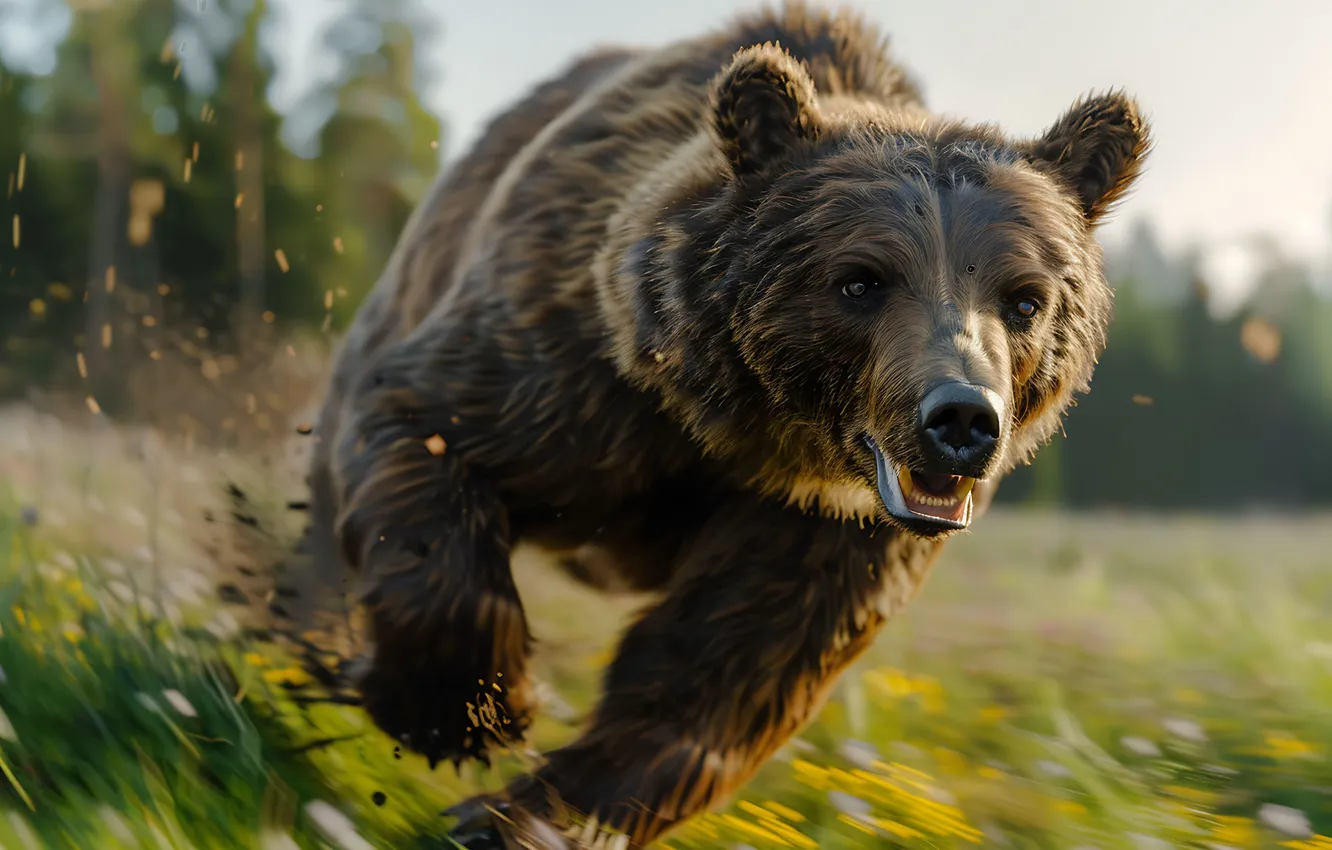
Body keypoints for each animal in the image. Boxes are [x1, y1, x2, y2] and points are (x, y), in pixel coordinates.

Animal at [295, 2, 1150, 847]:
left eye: (1025, 298)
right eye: (860, 280)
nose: (962, 417)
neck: (738, 433)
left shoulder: (822, 527)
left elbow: (731, 662)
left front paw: (528, 817)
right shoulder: (567, 377)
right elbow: (429, 430)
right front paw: (468, 711)